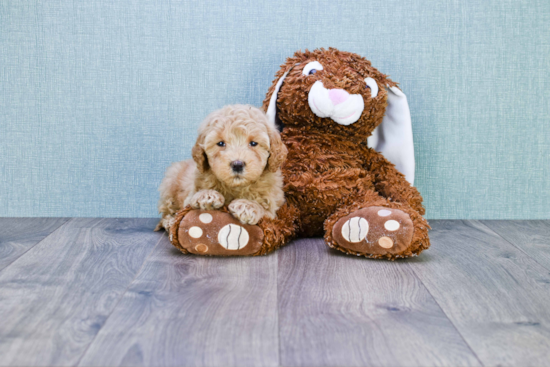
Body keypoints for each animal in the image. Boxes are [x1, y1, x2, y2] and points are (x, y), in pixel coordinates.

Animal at [154, 104, 286, 230]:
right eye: (221, 143)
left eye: (253, 143)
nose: (237, 164)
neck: (235, 187)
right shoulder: (189, 195)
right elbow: (192, 198)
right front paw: (206, 195)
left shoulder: (272, 210)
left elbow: (264, 209)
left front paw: (247, 205)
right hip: (169, 184)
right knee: (166, 212)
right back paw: (170, 222)